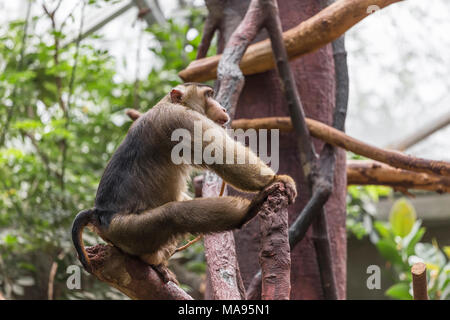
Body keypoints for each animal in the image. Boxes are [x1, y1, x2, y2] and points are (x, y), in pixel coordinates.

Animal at [72, 82, 298, 282]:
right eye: (209, 95)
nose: (223, 107)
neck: (168, 103)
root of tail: (99, 214)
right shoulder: (182, 119)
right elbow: (222, 156)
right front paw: (274, 179)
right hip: (125, 231)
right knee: (174, 215)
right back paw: (247, 212)